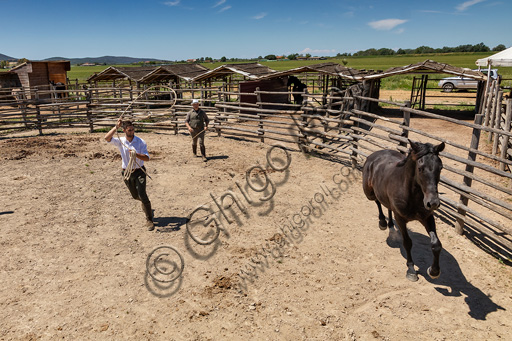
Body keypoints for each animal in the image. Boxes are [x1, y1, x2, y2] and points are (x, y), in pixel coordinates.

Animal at [364, 139, 444, 280]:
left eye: (440, 168)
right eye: (420, 168)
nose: (433, 203)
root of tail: (375, 155)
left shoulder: (427, 217)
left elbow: (436, 244)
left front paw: (434, 271)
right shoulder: (401, 219)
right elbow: (407, 242)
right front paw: (411, 270)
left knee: (388, 207)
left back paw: (390, 225)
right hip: (369, 193)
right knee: (377, 201)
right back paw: (382, 223)